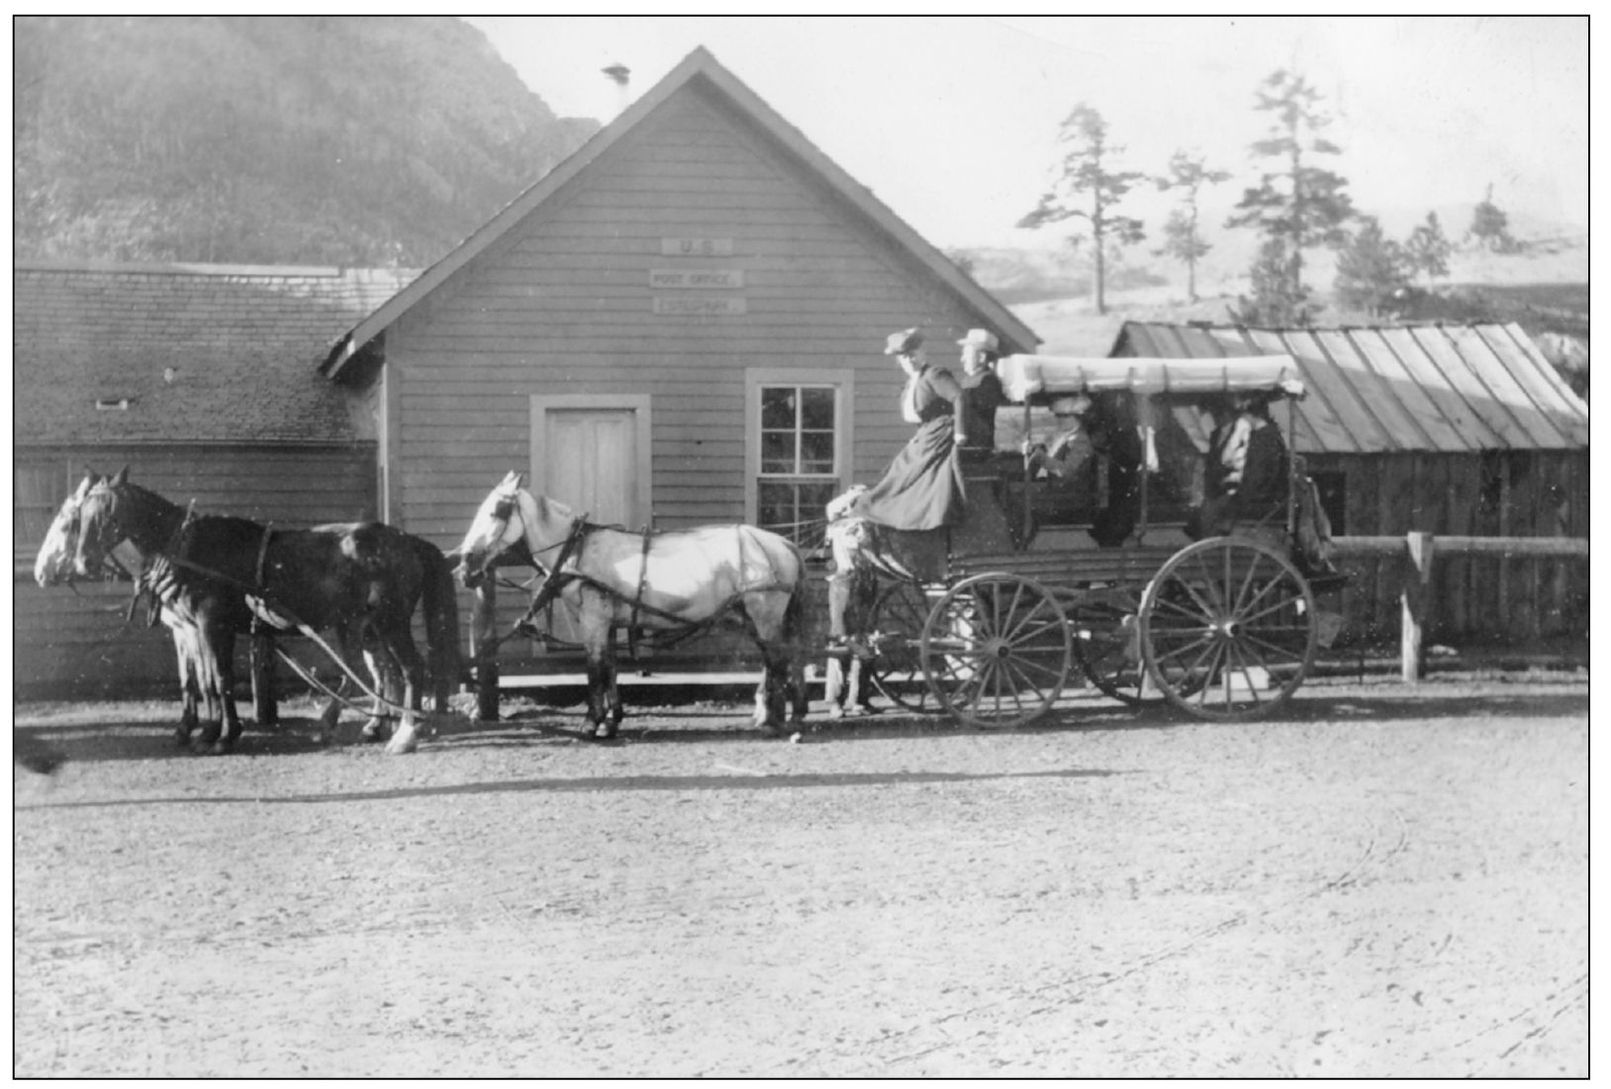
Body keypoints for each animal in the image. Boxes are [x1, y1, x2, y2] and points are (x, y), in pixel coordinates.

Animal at [69, 467, 460, 757]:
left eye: (107, 512)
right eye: (80, 515)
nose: (83, 562)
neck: (189, 549)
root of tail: (405, 540)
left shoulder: (212, 625)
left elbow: (220, 679)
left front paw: (224, 735)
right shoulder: (190, 629)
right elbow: (199, 680)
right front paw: (204, 731)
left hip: (390, 622)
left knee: (409, 670)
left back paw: (404, 734)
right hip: (366, 626)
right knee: (385, 674)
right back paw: (373, 726)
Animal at [451, 470, 805, 741]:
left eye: (497, 510)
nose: (466, 563)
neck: (577, 551)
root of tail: (781, 542)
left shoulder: (593, 620)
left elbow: (594, 669)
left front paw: (591, 723)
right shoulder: (606, 622)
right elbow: (609, 668)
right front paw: (611, 720)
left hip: (765, 613)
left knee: (777, 660)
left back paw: (772, 721)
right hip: (753, 617)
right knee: (772, 660)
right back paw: (772, 714)